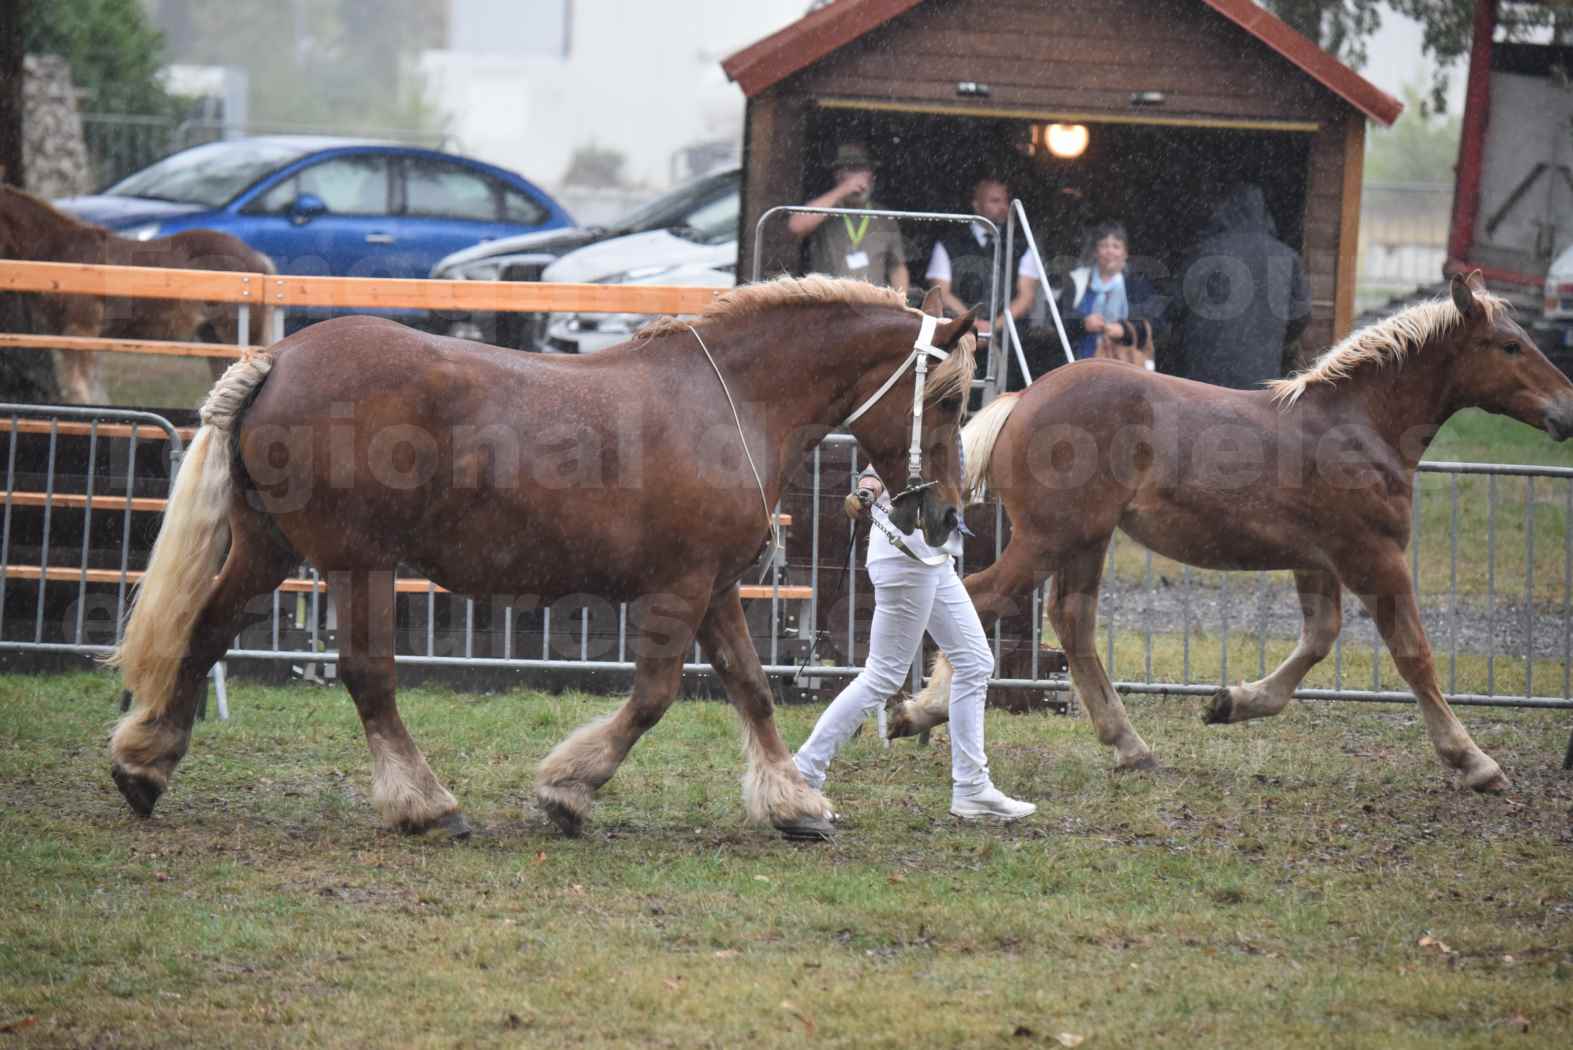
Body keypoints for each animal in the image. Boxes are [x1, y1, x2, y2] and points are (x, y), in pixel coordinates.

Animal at [107, 275, 968, 842]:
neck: (730, 402)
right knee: (368, 677)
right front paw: (567, 790)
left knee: (204, 634)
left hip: (267, 549)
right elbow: (652, 698)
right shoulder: (678, 589)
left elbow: (752, 691)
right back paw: (428, 805)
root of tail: (277, 358)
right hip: (359, 565)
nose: (947, 513)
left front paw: (794, 805)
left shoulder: (717, 589)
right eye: (951, 398)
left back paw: (144, 768)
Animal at [899, 275, 1573, 792]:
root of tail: (1023, 398)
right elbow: (1415, 655)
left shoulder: (1317, 560)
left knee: (1072, 621)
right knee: (986, 596)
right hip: (1051, 538)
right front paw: (1475, 762)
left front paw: (1229, 703)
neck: (1360, 425)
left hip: (1085, 541)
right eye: (1510, 346)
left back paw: (1129, 746)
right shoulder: (1374, 557)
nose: (1566, 410)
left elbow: (1319, 639)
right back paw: (917, 712)